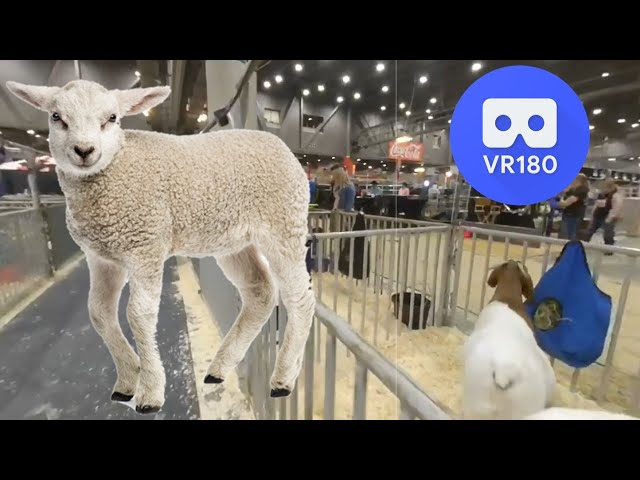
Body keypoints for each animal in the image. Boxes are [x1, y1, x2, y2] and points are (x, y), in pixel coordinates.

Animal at [5, 79, 316, 412]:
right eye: (56, 117)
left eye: (112, 118)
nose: (84, 151)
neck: (115, 167)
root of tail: (281, 146)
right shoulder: (101, 257)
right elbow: (99, 313)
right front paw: (127, 380)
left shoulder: (146, 246)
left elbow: (138, 315)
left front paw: (150, 392)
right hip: (234, 242)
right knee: (261, 292)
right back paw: (219, 369)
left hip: (283, 224)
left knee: (300, 297)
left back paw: (283, 379)